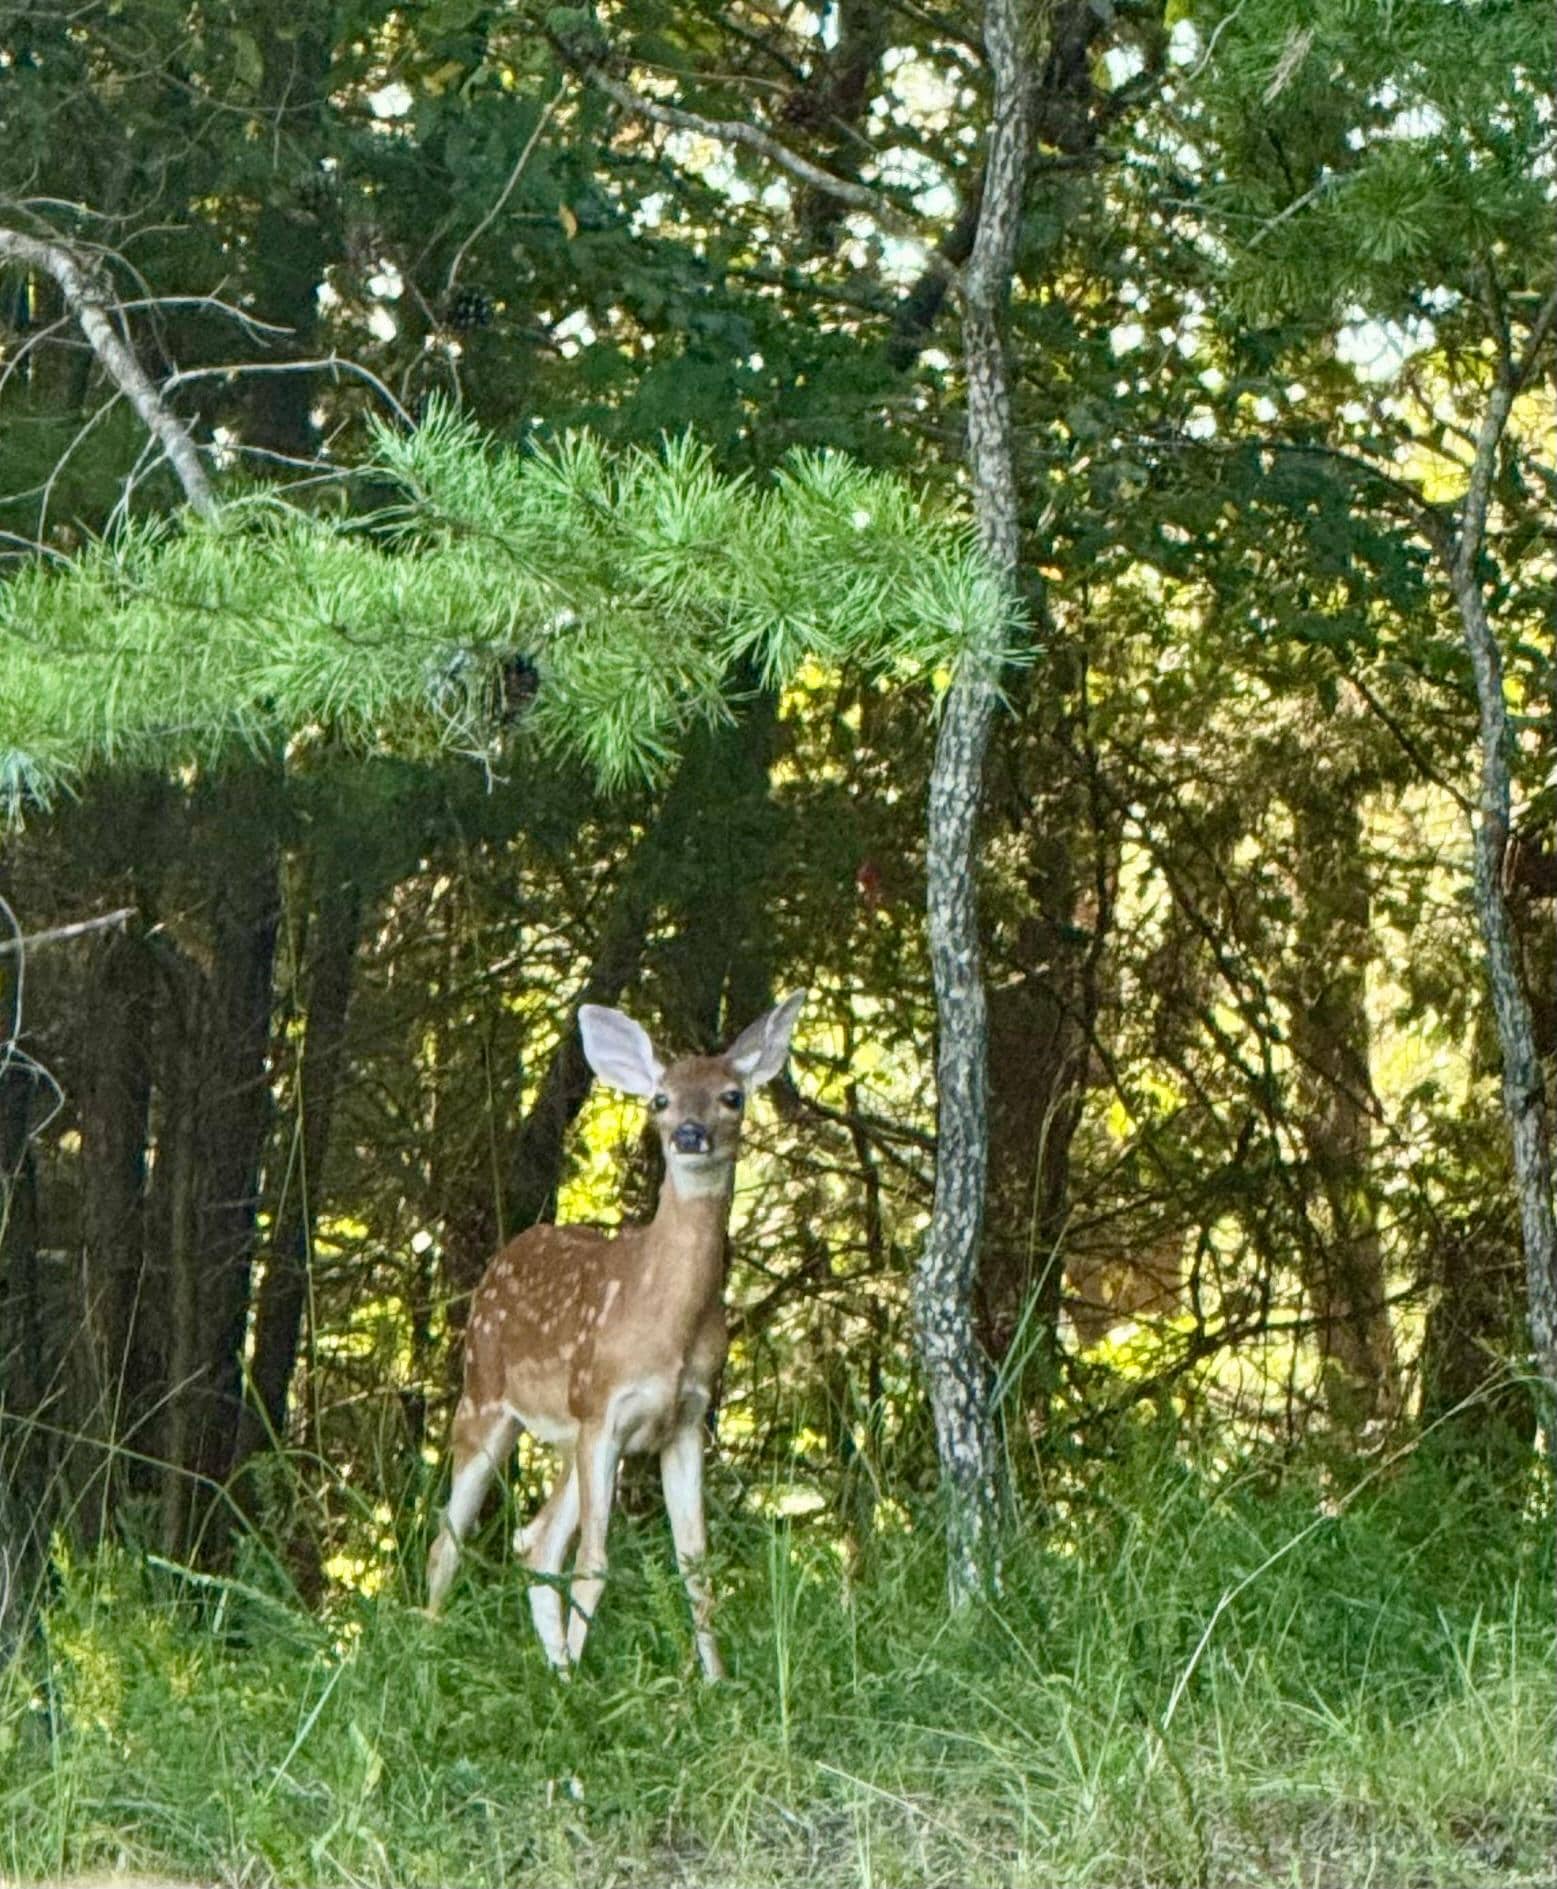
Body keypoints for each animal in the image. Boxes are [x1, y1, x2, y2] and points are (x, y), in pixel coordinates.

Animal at [425, 991, 805, 1679]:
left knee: (536, 1541)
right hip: (487, 1396)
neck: (662, 1322)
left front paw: (716, 1679)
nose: (689, 1134)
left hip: (568, 1436)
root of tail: (509, 1250)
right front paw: (586, 1683)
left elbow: (695, 1564)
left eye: (732, 1096)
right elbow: (594, 1563)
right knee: (450, 1540)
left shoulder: (684, 1420)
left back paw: (554, 1667)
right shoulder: (602, 1406)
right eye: (660, 1099)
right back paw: (433, 1647)